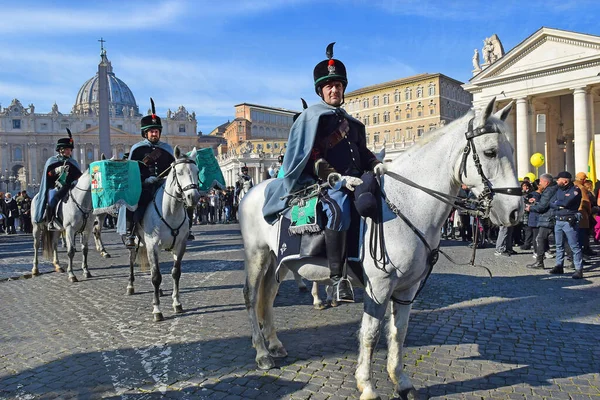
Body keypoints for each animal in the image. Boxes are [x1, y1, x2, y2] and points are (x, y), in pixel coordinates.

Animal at [127, 147, 200, 322]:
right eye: (179, 172)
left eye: (197, 171)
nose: (193, 197)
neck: (170, 211)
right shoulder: (153, 246)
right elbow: (156, 277)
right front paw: (157, 310)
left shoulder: (180, 246)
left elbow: (175, 273)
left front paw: (177, 303)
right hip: (136, 242)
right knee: (132, 260)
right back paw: (130, 285)